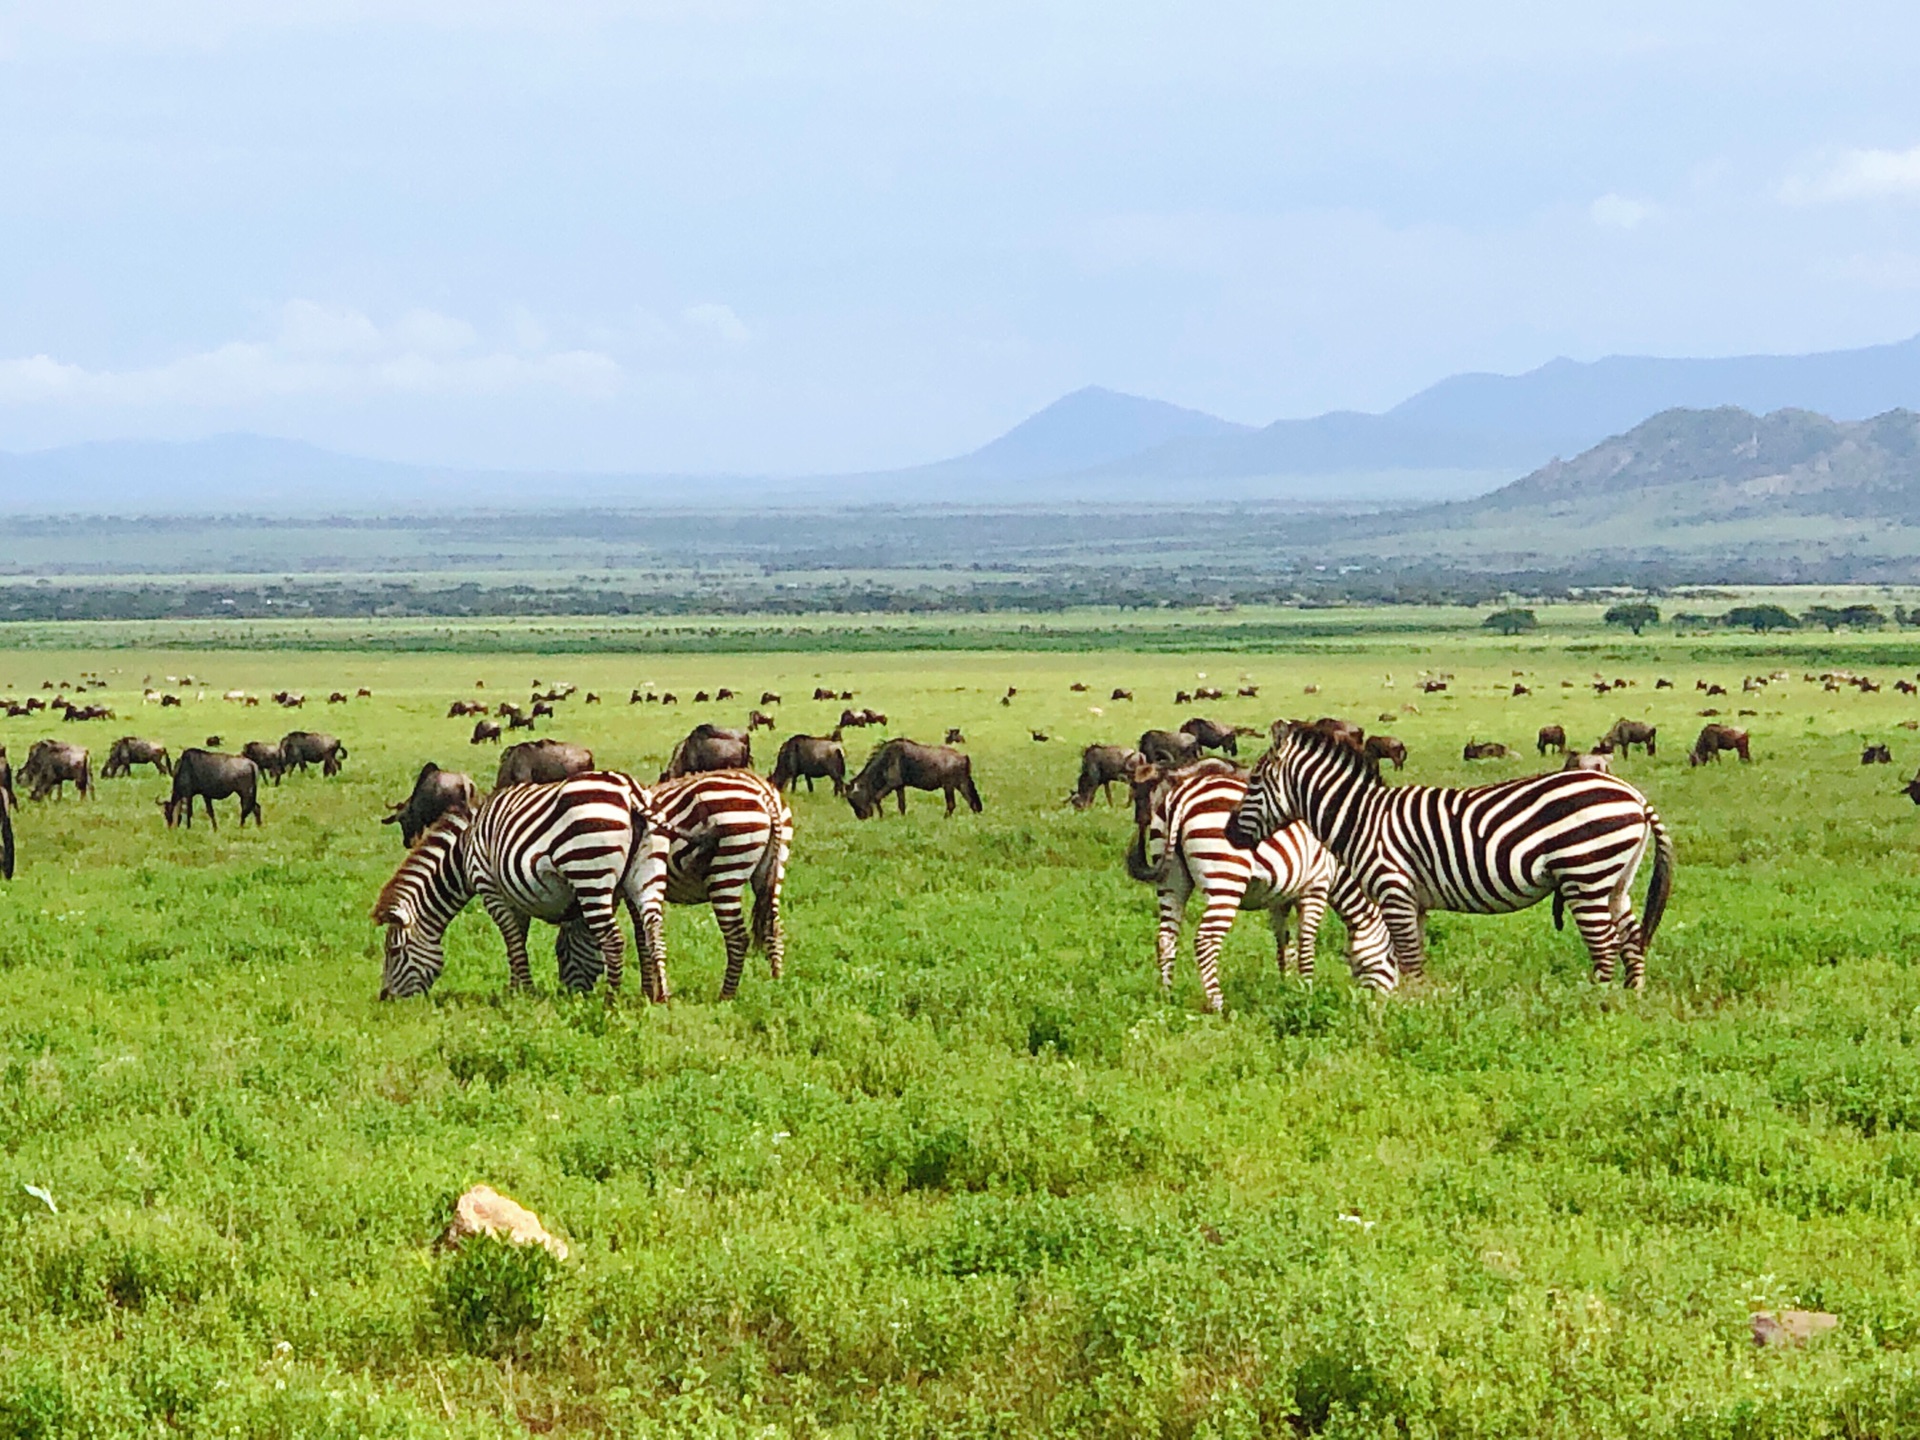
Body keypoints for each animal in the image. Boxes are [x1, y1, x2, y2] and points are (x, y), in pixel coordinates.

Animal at [370, 771, 656, 998]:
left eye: (394, 952)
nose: (386, 998)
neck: (462, 851)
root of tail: (628, 791)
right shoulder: (514, 892)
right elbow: (517, 939)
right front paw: (515, 988)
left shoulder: (489, 887)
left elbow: (512, 940)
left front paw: (525, 993)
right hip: (637, 876)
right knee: (644, 932)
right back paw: (650, 993)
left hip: (590, 874)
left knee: (613, 939)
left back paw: (611, 1000)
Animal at [622, 768, 787, 1006]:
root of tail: (763, 791)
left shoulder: (633, 887)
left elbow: (641, 937)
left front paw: (648, 992)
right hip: (774, 871)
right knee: (774, 925)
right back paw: (776, 982)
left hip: (726, 872)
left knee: (738, 937)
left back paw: (725, 996)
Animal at [1121, 760, 1397, 1006]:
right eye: (1392, 959)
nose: (1388, 1005)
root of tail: (1183, 795)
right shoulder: (1316, 887)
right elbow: (1306, 945)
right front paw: (1307, 993)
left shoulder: (1280, 898)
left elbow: (1285, 946)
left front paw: (1288, 989)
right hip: (1225, 882)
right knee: (1205, 940)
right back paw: (1218, 1005)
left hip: (1170, 879)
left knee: (1166, 937)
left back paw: (1167, 997)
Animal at [1221, 725, 1674, 990]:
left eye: (1254, 782)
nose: (1228, 833)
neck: (1361, 818)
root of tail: (1634, 796)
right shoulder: (1415, 901)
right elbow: (1411, 957)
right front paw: (1417, 1005)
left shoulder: (1394, 890)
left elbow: (1407, 959)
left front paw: (1412, 1014)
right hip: (1615, 880)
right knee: (1632, 941)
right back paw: (1628, 1003)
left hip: (1586, 873)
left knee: (1605, 947)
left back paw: (1596, 1008)